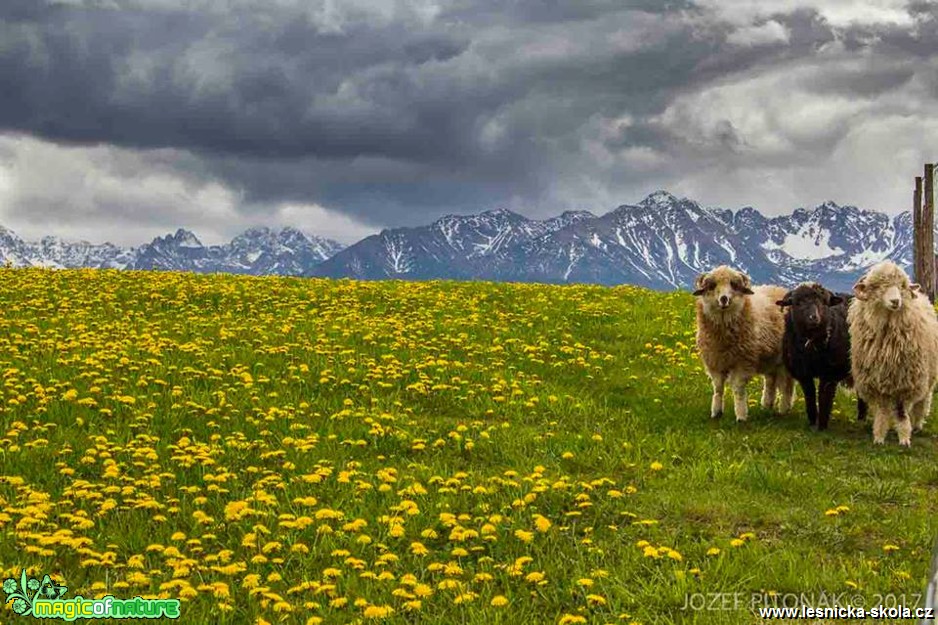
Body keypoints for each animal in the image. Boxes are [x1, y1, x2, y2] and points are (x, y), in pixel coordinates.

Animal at [692, 266, 792, 422]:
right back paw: (767, 405)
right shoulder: (714, 362)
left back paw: (784, 409)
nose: (724, 299)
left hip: (785, 359)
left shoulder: (742, 363)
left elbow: (738, 390)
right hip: (771, 358)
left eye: (734, 285)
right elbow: (718, 388)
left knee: (787, 385)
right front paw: (716, 413)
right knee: (770, 381)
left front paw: (741, 416)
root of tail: (779, 288)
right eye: (712, 286)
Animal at [772, 282, 868, 428]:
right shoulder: (803, 373)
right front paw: (812, 422)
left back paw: (862, 419)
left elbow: (824, 397)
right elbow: (810, 396)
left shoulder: (830, 373)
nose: (814, 318)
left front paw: (822, 425)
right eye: (798, 303)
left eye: (824, 302)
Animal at [844, 258, 936, 444]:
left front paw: (904, 439)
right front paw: (879, 437)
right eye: (878, 286)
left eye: (902, 286)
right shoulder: (876, 382)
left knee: (922, 402)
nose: (895, 301)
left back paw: (917, 425)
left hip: (927, 378)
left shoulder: (905, 382)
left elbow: (901, 413)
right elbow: (882, 411)